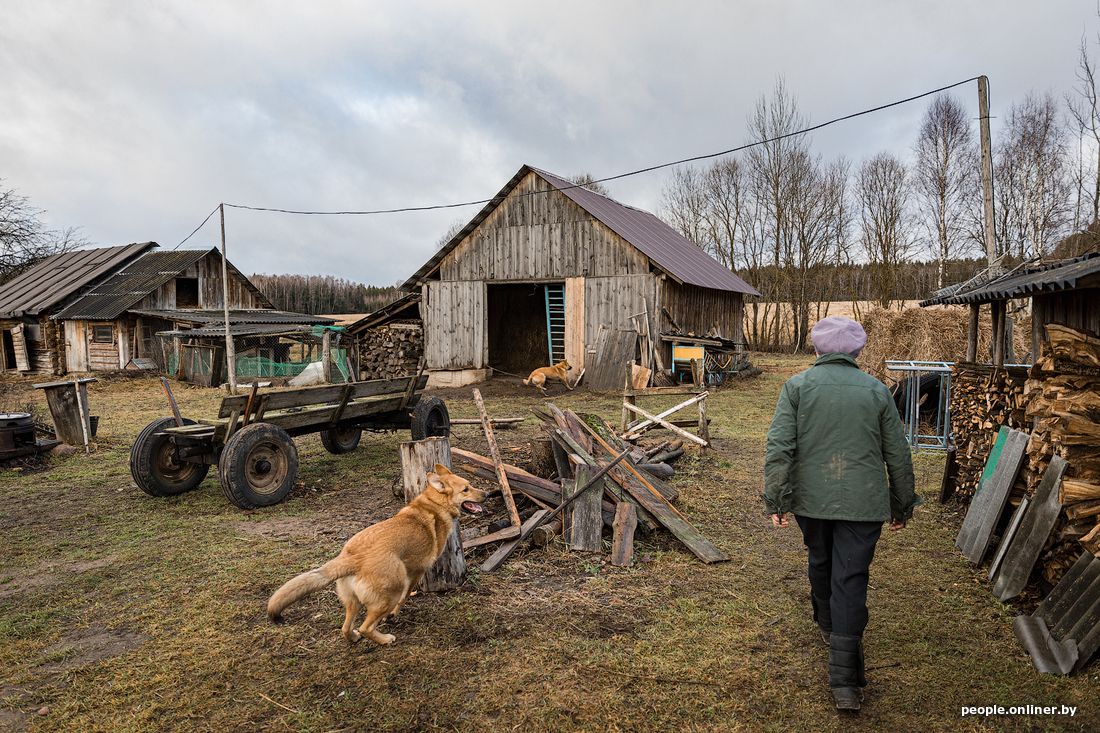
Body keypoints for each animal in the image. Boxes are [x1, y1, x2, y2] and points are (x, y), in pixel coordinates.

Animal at [264, 462, 484, 638]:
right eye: (466, 489)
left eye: (471, 485)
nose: (487, 494)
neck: (434, 504)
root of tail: (354, 559)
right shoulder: (415, 572)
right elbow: (405, 597)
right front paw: (394, 615)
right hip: (390, 593)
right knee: (366, 627)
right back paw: (385, 638)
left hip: (352, 602)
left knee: (345, 628)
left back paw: (354, 637)